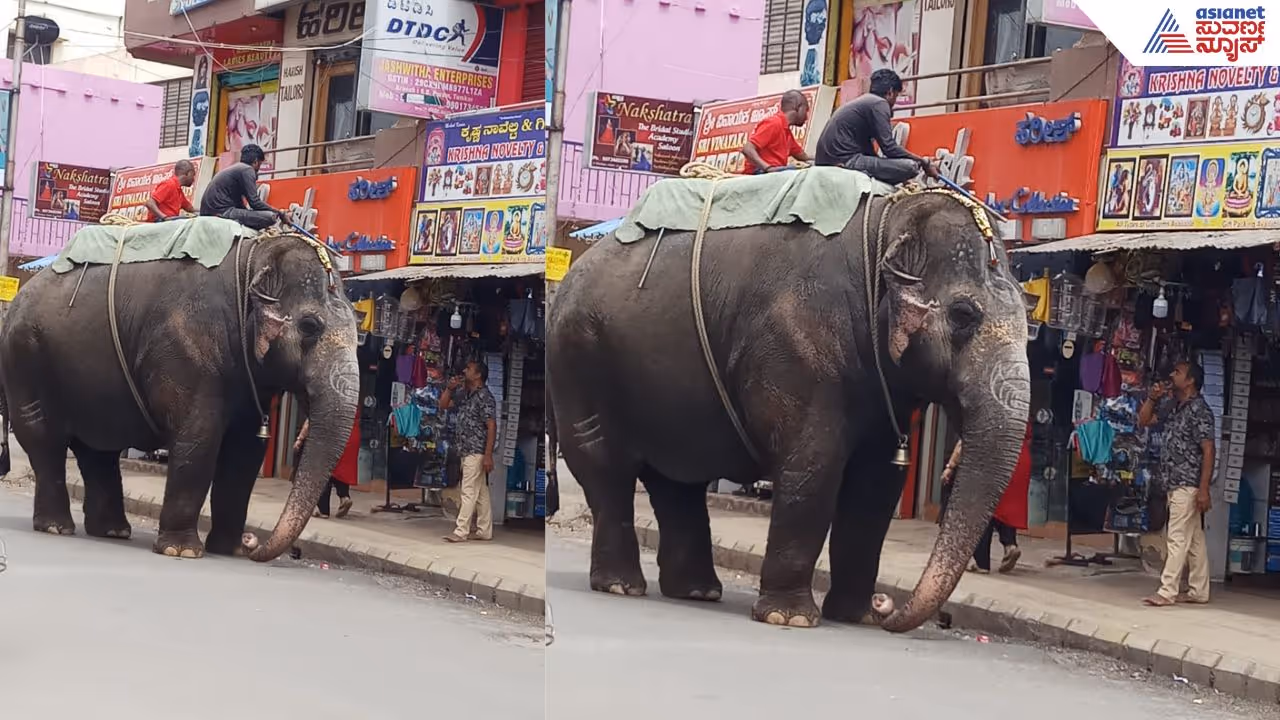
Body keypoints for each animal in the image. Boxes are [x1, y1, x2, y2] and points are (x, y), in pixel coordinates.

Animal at [0, 230, 359, 562]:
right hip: (25, 358)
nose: (252, 542)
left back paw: (113, 531)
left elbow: (245, 453)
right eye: (310, 326)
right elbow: (200, 436)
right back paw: (57, 527)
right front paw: (182, 551)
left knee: (98, 448)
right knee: (44, 439)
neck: (252, 257)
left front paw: (228, 550)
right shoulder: (183, 347)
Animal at [547, 187, 1031, 633]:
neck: (885, 221)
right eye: (963, 314)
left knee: (677, 480)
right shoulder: (792, 347)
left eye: (1030, 321)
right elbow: (814, 464)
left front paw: (854, 617)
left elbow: (876, 485)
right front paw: (790, 618)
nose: (886, 606)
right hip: (578, 359)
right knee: (605, 467)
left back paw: (697, 592)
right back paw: (621, 586)